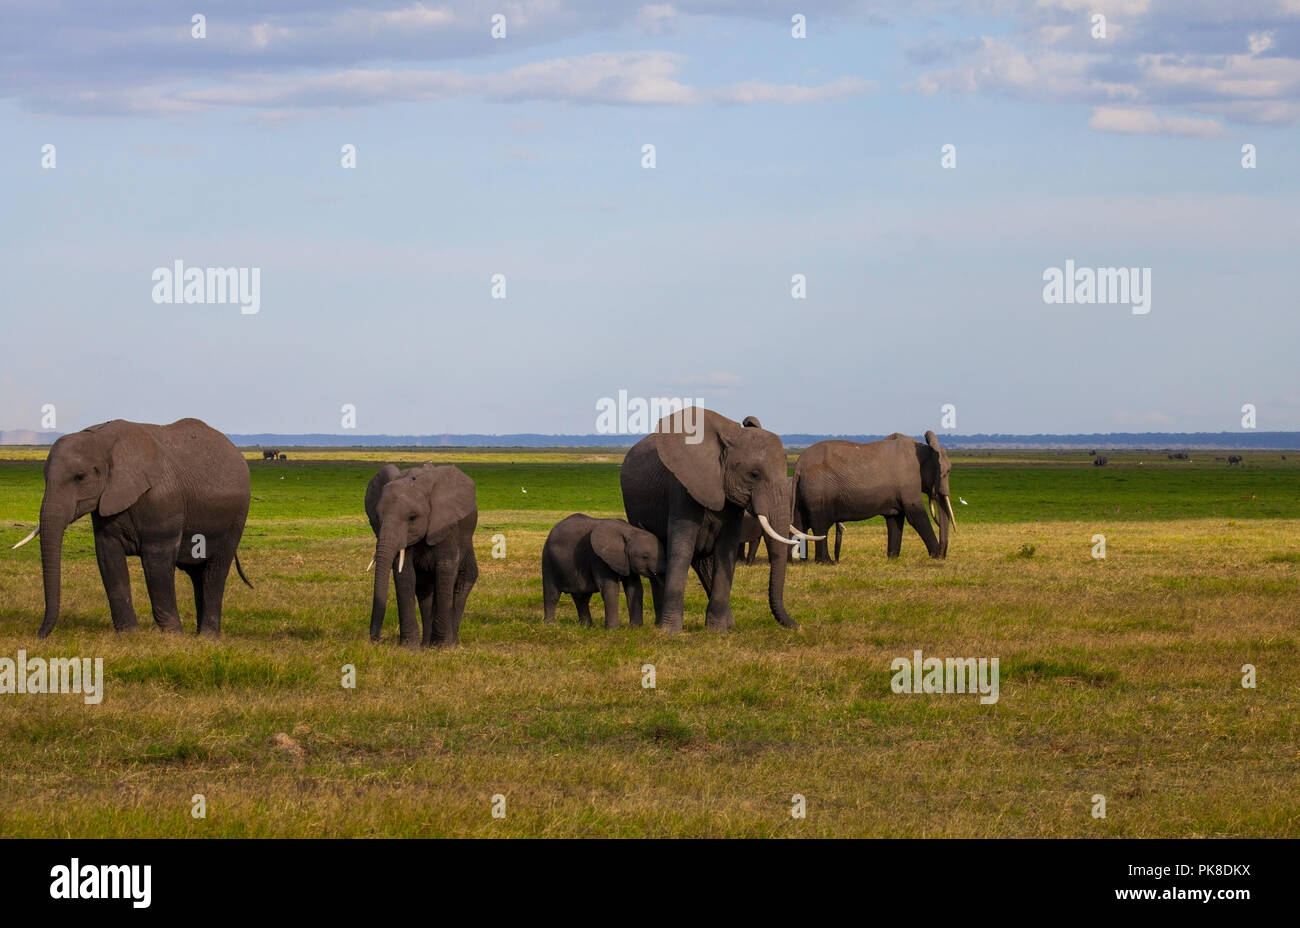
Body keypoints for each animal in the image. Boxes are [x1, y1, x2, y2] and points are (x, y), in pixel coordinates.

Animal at [13, 418, 253, 636]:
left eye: (80, 477)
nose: (39, 635)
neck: (102, 439)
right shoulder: (106, 504)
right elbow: (109, 559)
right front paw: (129, 635)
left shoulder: (163, 501)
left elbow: (157, 564)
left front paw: (173, 637)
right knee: (197, 574)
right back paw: (200, 636)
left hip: (237, 517)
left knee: (215, 572)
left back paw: (207, 638)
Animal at [366, 460, 478, 644]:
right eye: (377, 517)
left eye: (412, 518)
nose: (377, 639)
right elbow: (404, 573)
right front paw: (409, 646)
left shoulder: (447, 524)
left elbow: (446, 569)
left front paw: (442, 646)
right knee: (425, 589)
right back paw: (426, 644)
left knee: (463, 581)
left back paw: (451, 643)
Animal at [618, 408, 811, 631]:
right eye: (754, 475)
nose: (797, 625)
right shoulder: (682, 487)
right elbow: (681, 551)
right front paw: (670, 632)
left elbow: (725, 550)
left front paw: (717, 631)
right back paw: (660, 625)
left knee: (704, 566)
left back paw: (727, 623)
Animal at [785, 428, 951, 561]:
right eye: (947, 472)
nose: (943, 555)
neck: (925, 448)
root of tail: (798, 465)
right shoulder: (908, 480)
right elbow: (915, 514)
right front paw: (935, 556)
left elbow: (895, 518)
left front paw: (892, 559)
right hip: (818, 491)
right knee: (820, 525)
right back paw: (826, 562)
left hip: (802, 493)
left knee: (800, 523)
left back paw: (799, 562)